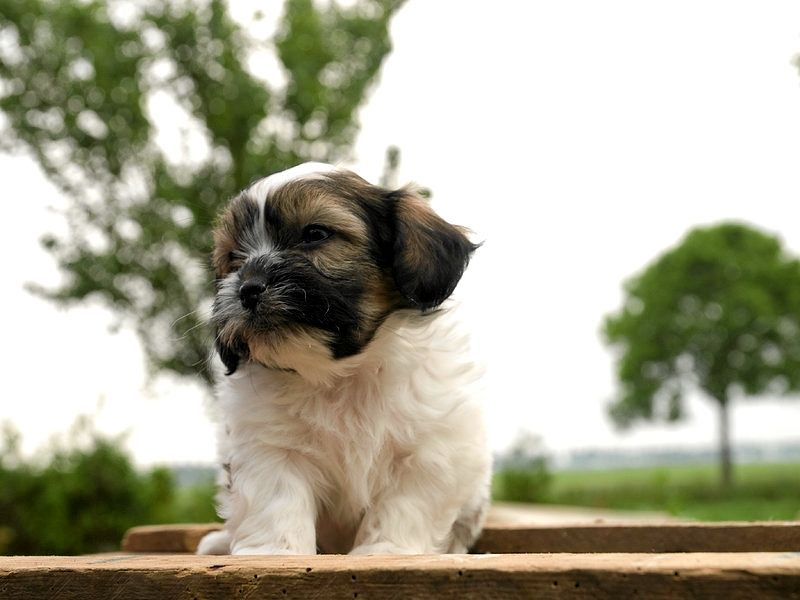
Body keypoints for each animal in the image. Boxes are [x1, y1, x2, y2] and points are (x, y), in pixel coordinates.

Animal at [197, 162, 490, 556]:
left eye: (315, 234)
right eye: (233, 258)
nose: (248, 288)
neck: (341, 374)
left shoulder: (430, 450)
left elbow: (405, 504)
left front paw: (386, 550)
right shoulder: (268, 447)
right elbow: (276, 500)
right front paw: (275, 552)